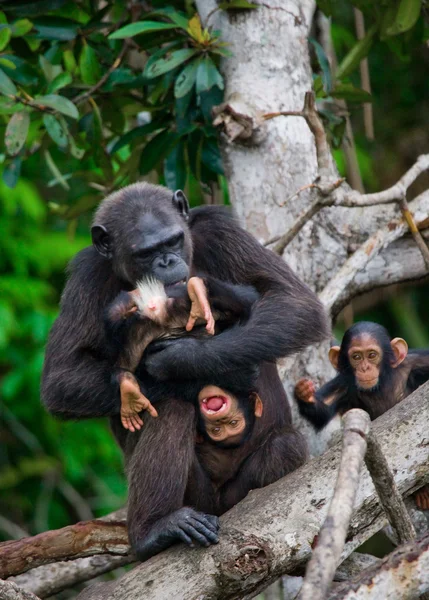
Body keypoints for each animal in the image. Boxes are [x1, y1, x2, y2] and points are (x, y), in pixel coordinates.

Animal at [105, 276, 262, 446]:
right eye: (219, 428)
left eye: (232, 424)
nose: (220, 419)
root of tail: (159, 312)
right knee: (244, 301)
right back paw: (198, 290)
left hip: (143, 329)